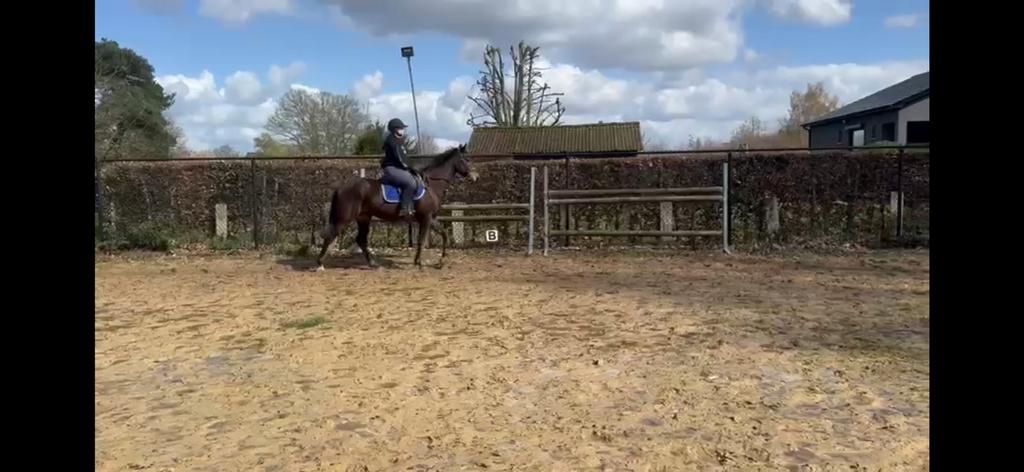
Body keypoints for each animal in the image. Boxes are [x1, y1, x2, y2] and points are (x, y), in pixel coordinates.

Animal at [315, 144, 473, 271]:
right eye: (466, 159)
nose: (474, 176)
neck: (431, 185)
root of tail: (342, 186)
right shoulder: (426, 218)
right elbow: (422, 241)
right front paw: (420, 263)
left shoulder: (430, 218)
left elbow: (444, 235)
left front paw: (440, 261)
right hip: (344, 218)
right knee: (331, 236)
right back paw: (320, 264)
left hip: (363, 218)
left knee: (361, 240)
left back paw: (373, 263)